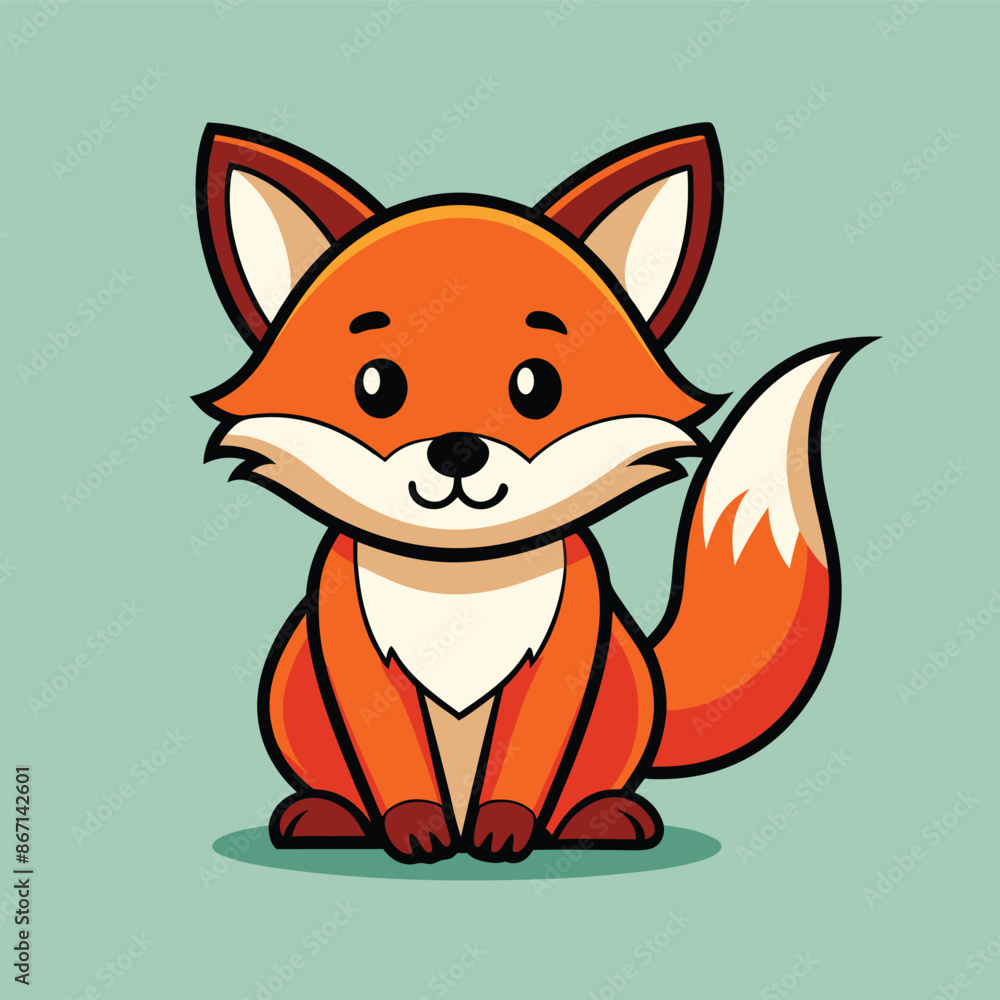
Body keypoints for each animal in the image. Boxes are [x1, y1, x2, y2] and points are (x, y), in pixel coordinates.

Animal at [194, 121, 866, 864]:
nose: (458, 449)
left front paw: (507, 827)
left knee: (590, 780)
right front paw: (413, 827)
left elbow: (526, 760)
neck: (460, 576)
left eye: (537, 385)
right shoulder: (354, 653)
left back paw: (597, 817)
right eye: (376, 386)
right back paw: (329, 815)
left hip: (624, 683)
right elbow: (394, 758)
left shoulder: (567, 653)